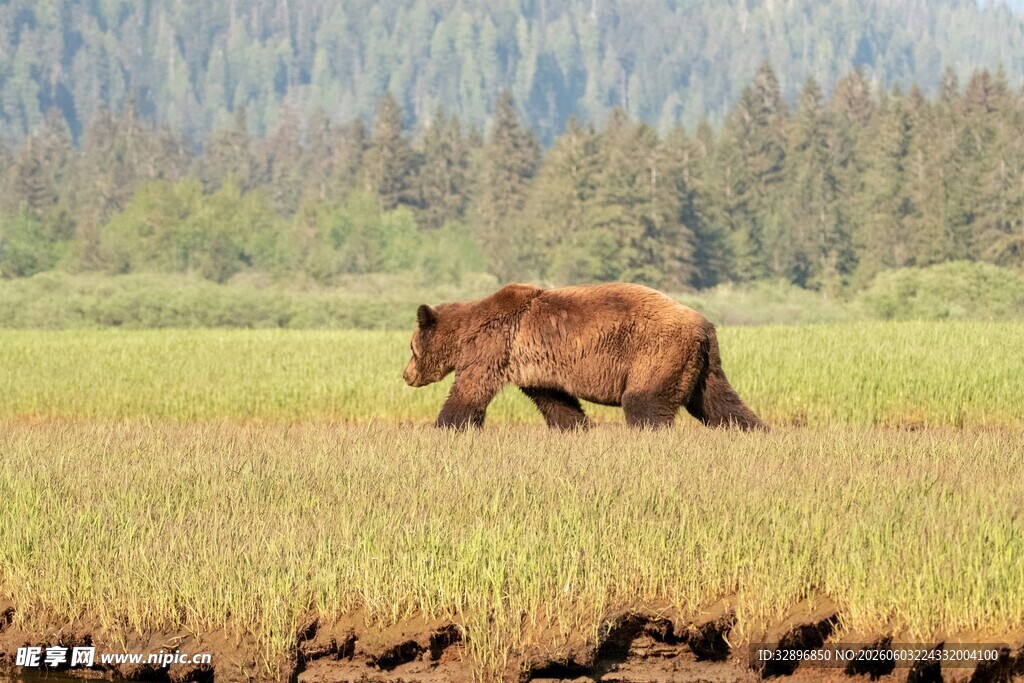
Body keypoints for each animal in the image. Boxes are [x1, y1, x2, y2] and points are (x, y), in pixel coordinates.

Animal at [403, 282, 766, 430]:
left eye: (410, 347)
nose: (406, 375)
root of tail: (703, 324)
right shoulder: (535, 366)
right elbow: (556, 401)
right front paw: (576, 427)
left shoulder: (493, 349)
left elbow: (469, 392)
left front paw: (445, 426)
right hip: (703, 364)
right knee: (720, 403)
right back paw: (754, 430)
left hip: (656, 352)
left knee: (645, 402)